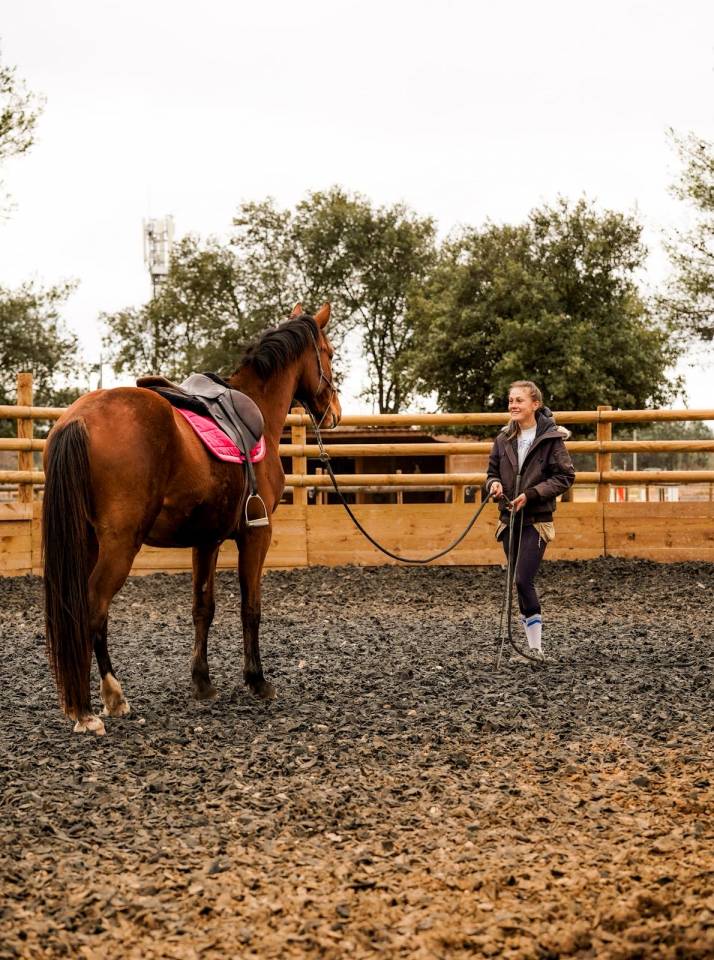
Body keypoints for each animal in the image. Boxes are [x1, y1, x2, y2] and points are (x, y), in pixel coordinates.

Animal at [42, 302, 341, 735]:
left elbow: (204, 608)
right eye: (330, 353)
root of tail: (77, 420)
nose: (334, 412)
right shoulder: (257, 536)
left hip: (84, 540)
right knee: (94, 605)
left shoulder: (207, 539)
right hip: (119, 544)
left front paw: (202, 682)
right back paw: (97, 705)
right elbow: (251, 608)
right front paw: (257, 681)